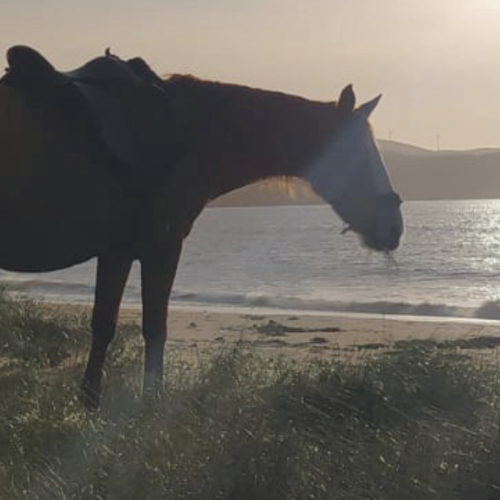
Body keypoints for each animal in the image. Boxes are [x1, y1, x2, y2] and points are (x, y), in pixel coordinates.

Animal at [0, 75, 402, 410]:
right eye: (357, 153)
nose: (394, 227)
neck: (183, 136)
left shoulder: (119, 252)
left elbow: (105, 325)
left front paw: (90, 402)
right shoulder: (158, 249)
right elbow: (153, 327)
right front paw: (150, 401)